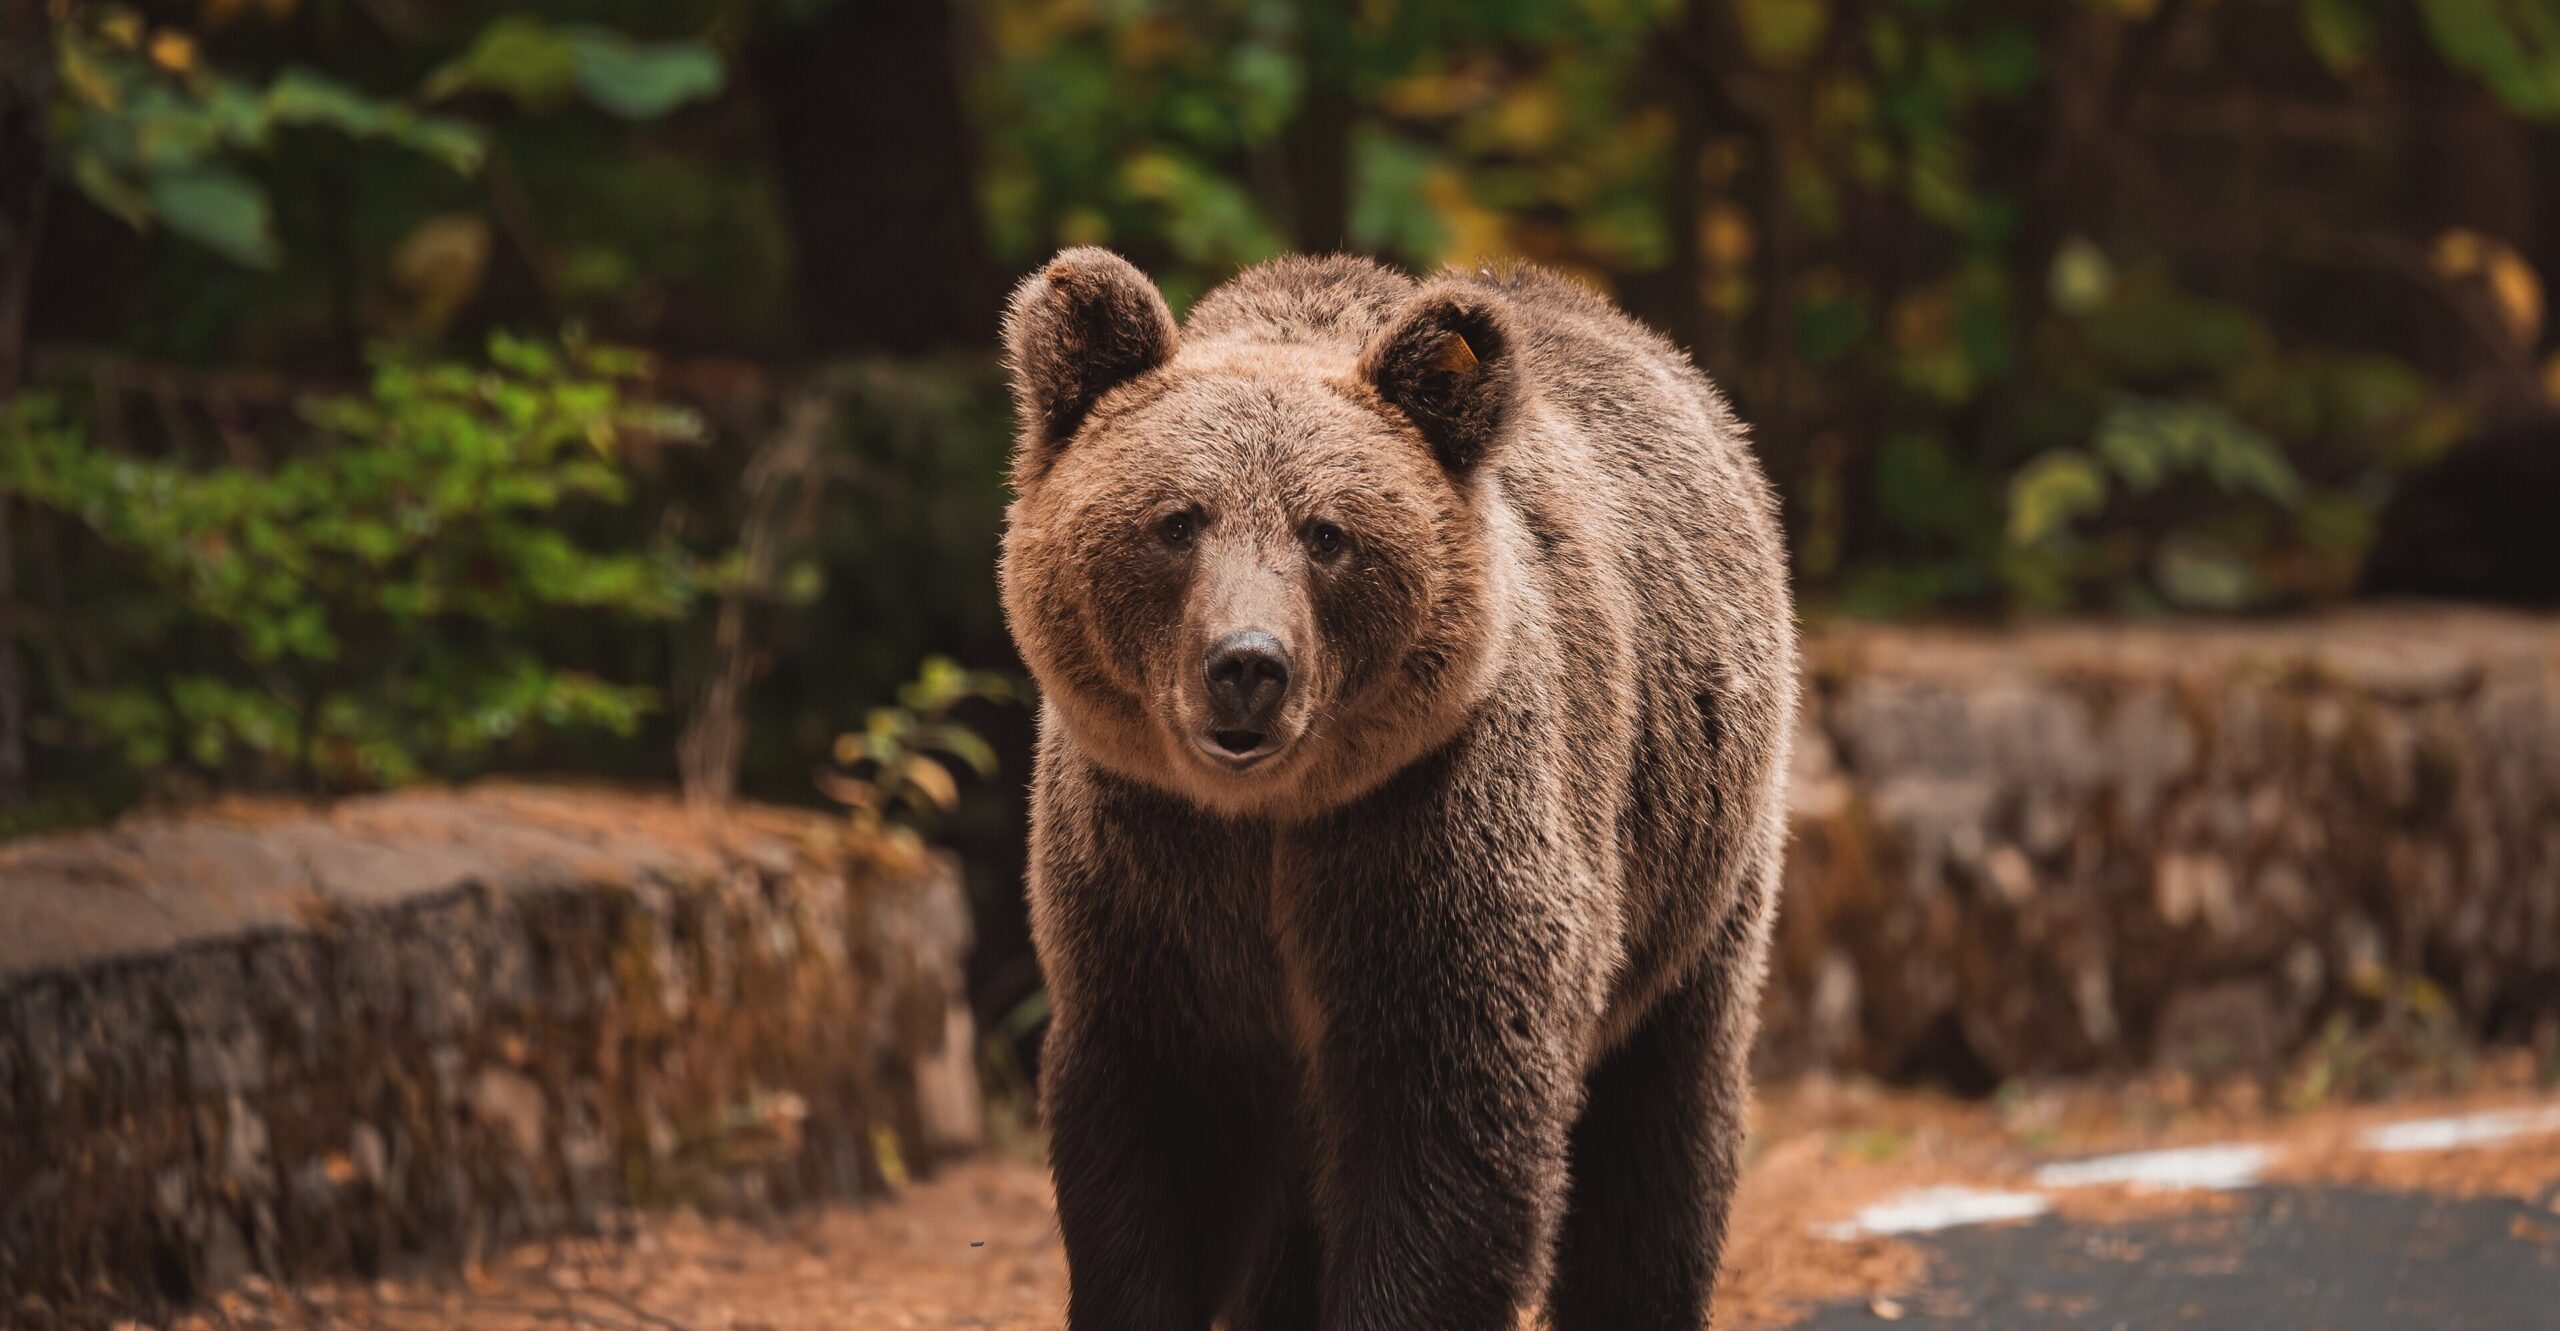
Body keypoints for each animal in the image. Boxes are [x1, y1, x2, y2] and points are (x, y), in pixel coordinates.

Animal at [997, 247, 1798, 1331]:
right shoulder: (1148, 871)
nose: (1246, 664)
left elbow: (1448, 1143)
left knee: (1662, 1128)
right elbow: (1156, 1144)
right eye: (1177, 519)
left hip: (1696, 865)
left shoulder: (1427, 836)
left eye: (1327, 533)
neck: (1270, 819)